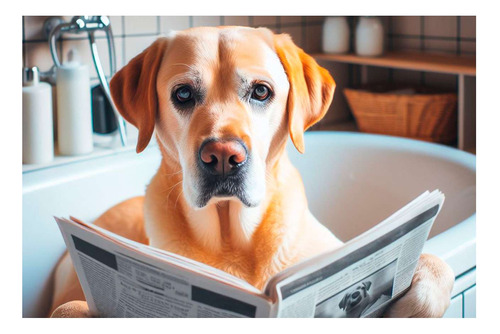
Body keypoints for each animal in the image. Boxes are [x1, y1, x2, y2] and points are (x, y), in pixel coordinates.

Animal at [48, 26, 456, 318]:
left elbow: (438, 265)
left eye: (261, 92)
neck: (232, 238)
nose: (222, 156)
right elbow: (69, 309)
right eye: (183, 94)